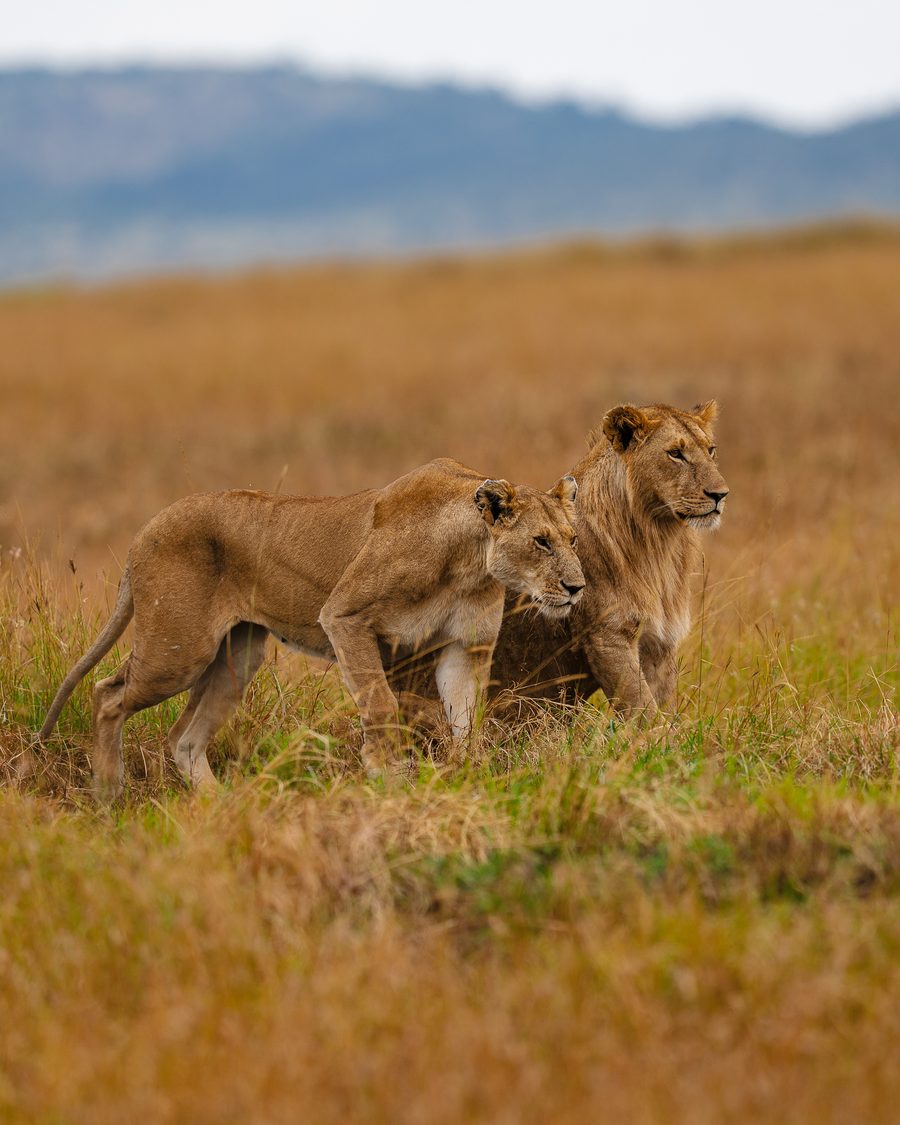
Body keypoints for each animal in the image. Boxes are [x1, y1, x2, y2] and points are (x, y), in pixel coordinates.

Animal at [26, 458, 584, 797]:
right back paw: (109, 795)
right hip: (179, 650)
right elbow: (380, 704)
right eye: (540, 541)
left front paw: (468, 776)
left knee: (182, 739)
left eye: (573, 538)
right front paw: (385, 776)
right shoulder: (346, 617)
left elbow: (466, 720)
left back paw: (219, 807)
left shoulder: (466, 646)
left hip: (237, 657)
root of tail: (145, 530)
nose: (578, 587)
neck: (471, 561)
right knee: (108, 693)